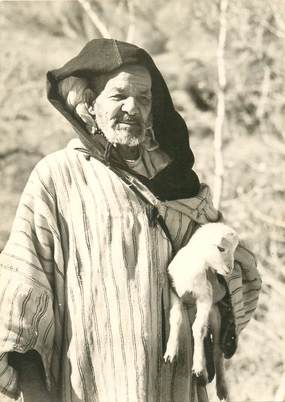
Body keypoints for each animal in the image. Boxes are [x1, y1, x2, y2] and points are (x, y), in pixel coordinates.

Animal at [163, 221, 239, 400]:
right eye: (221, 248)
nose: (229, 269)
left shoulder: (205, 298)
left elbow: (198, 329)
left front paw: (197, 366)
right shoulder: (176, 293)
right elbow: (175, 319)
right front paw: (170, 352)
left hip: (215, 316)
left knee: (217, 351)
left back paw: (220, 388)